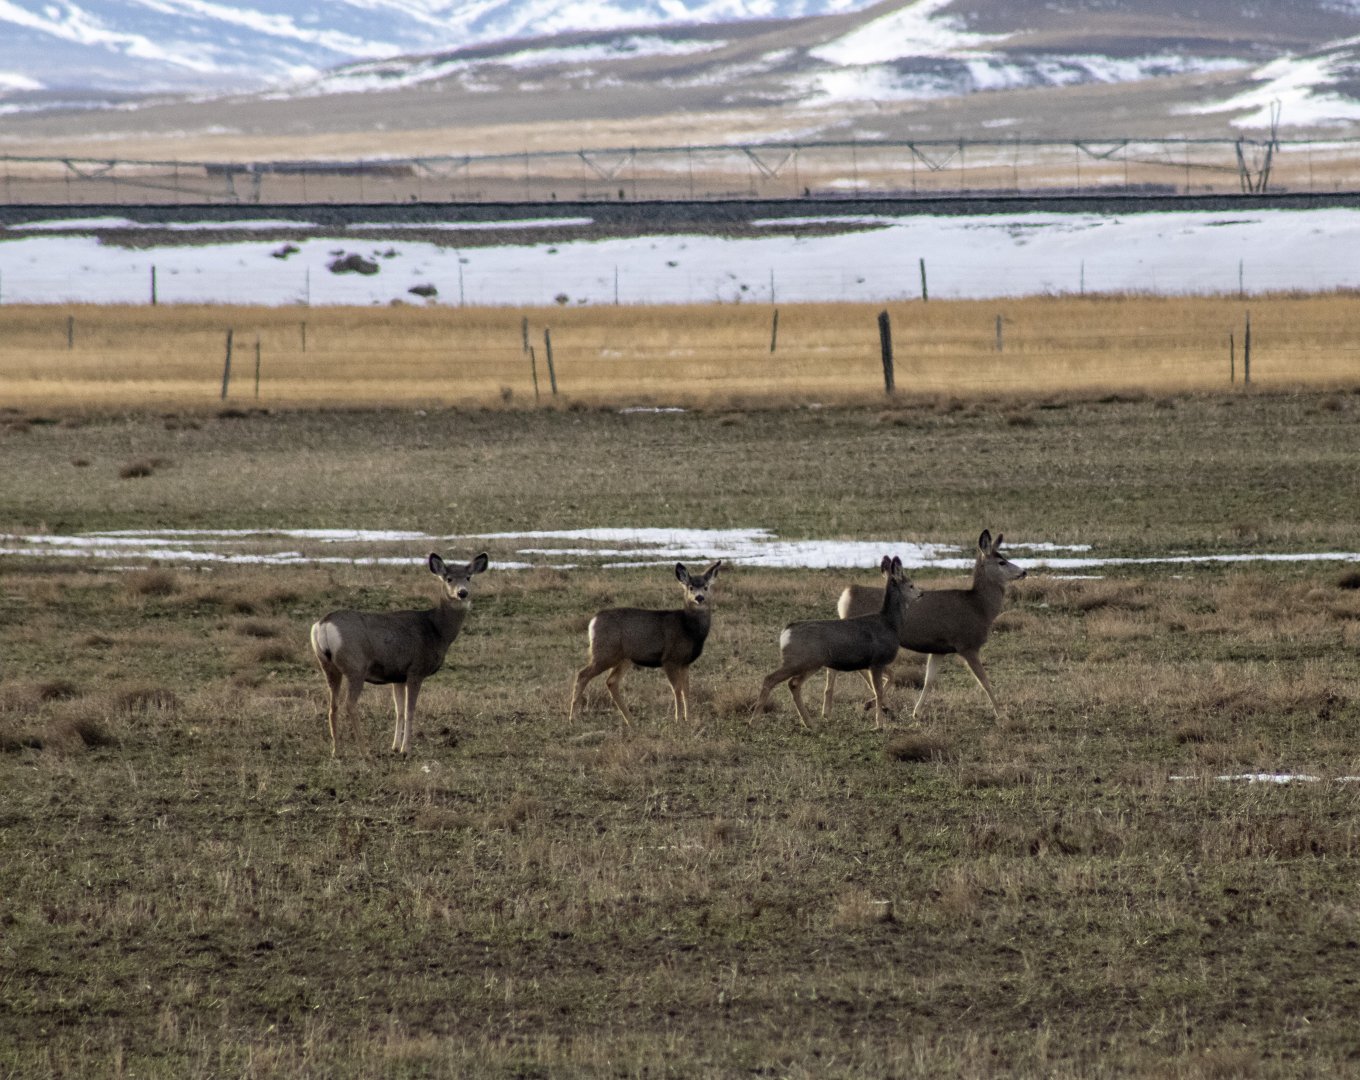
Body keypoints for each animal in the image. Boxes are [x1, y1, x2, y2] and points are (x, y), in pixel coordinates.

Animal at [310, 551, 489, 757]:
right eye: (448, 578)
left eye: (468, 577)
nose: (462, 593)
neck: (436, 630)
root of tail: (322, 624)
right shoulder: (416, 670)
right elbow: (410, 710)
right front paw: (406, 749)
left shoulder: (398, 675)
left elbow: (399, 710)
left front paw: (395, 747)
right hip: (356, 666)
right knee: (350, 704)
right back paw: (365, 751)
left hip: (328, 666)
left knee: (333, 705)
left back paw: (336, 751)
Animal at [568, 560, 722, 729]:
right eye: (690, 587)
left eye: (706, 587)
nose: (699, 597)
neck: (688, 629)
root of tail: (592, 622)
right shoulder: (669, 659)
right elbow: (676, 689)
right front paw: (678, 720)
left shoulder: (685, 662)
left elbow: (686, 690)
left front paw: (689, 719)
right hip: (604, 652)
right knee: (582, 675)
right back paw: (572, 718)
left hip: (624, 658)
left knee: (611, 682)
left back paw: (631, 721)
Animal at [752, 556, 919, 730]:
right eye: (911, 585)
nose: (920, 594)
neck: (890, 624)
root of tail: (786, 632)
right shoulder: (877, 660)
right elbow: (879, 690)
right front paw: (879, 724)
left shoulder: (872, 662)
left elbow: (891, 678)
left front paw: (870, 706)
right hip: (798, 661)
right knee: (771, 679)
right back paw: (754, 720)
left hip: (812, 663)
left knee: (793, 684)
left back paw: (809, 723)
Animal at [822, 530, 1025, 720]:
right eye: (1002, 562)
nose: (1024, 572)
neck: (979, 607)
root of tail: (846, 595)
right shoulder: (967, 644)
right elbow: (984, 681)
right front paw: (1002, 713)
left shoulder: (939, 649)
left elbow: (929, 680)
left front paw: (916, 712)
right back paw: (842, 708)